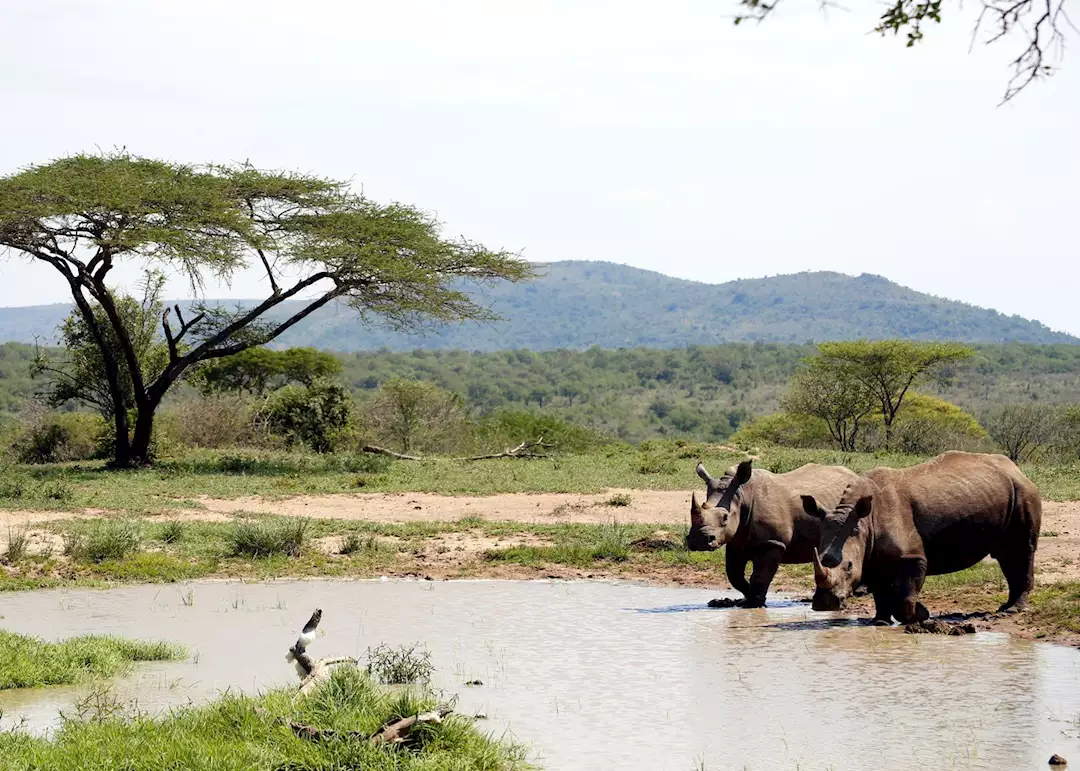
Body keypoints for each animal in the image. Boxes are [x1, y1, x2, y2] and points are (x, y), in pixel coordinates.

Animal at [687, 459, 860, 607]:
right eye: (702, 506)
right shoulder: (736, 542)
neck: (742, 495)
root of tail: (856, 475)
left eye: (725, 517)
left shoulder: (773, 543)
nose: (698, 541)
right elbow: (734, 575)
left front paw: (755, 603)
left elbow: (760, 576)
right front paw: (745, 598)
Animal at [800, 451, 1042, 625]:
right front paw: (881, 622)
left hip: (1024, 492)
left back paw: (1013, 610)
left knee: (1021, 549)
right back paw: (1005, 608)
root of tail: (1017, 470)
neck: (864, 523)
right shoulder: (871, 555)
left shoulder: (912, 556)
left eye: (849, 567)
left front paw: (920, 615)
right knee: (1006, 555)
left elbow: (906, 595)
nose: (825, 604)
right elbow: (880, 591)